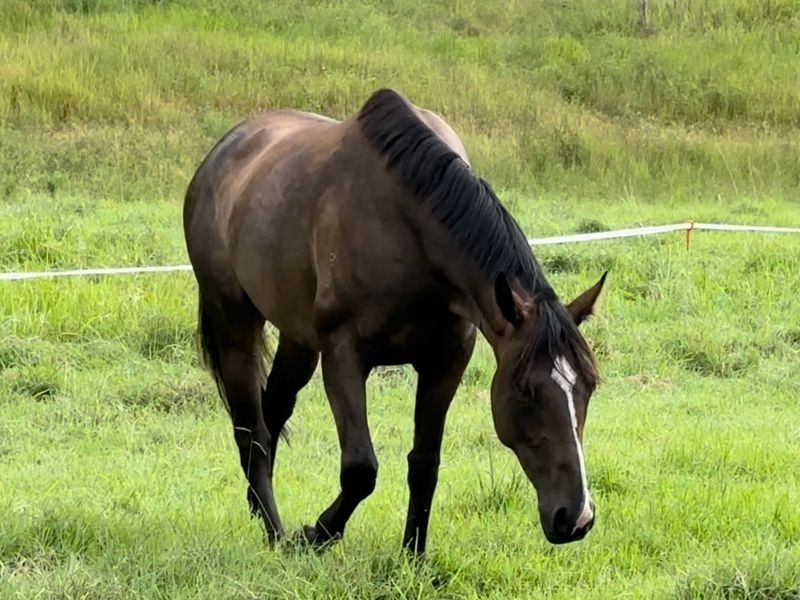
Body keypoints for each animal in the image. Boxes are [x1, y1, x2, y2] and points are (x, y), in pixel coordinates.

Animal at [183, 89, 606, 553]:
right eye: (527, 390)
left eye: (588, 386)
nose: (576, 517)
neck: (410, 230)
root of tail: (220, 154)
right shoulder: (343, 356)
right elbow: (360, 470)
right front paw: (317, 534)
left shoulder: (445, 361)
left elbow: (425, 462)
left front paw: (413, 554)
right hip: (235, 323)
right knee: (251, 428)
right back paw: (276, 532)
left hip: (298, 338)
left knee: (273, 409)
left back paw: (259, 510)